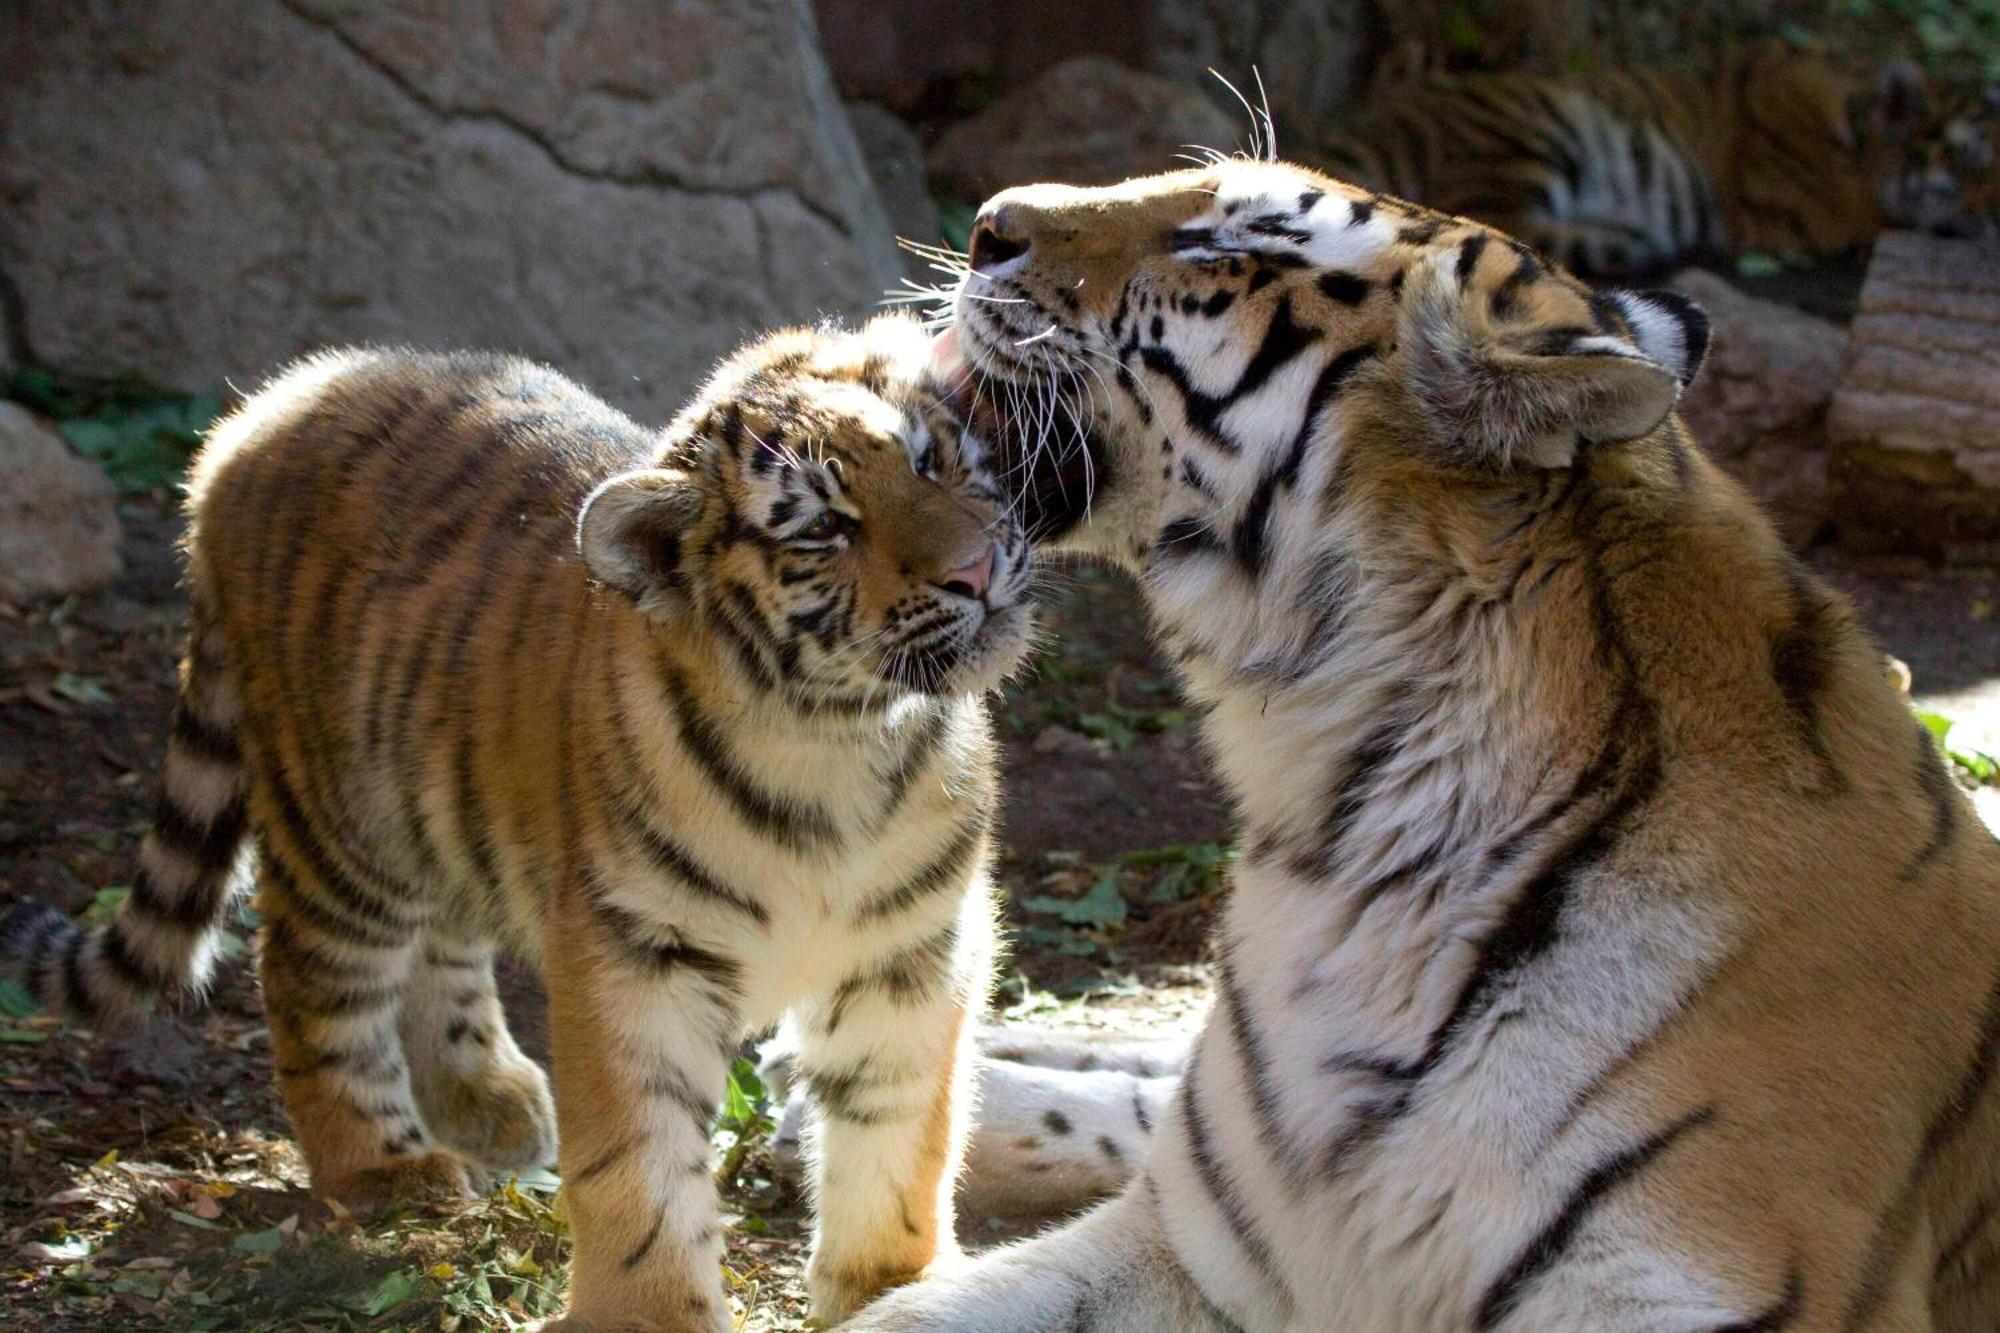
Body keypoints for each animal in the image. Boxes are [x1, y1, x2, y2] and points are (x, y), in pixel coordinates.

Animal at [0, 314, 1032, 1328]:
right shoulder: (638, 958)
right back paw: (384, 1168)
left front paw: (893, 1285)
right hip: (340, 828)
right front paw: (649, 1314)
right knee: (311, 982)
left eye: (929, 460)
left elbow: (900, 1124)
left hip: (439, 807)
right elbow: (639, 1161)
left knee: (441, 945)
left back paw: (482, 1097)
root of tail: (264, 409)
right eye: (823, 527)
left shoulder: (912, 951)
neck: (838, 745)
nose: (978, 567)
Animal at [1312, 43, 2000, 272]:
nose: (1993, 217)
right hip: (1535, 124)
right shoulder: (1807, 211)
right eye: (1969, 164)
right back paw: (1638, 245)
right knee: (1485, 223)